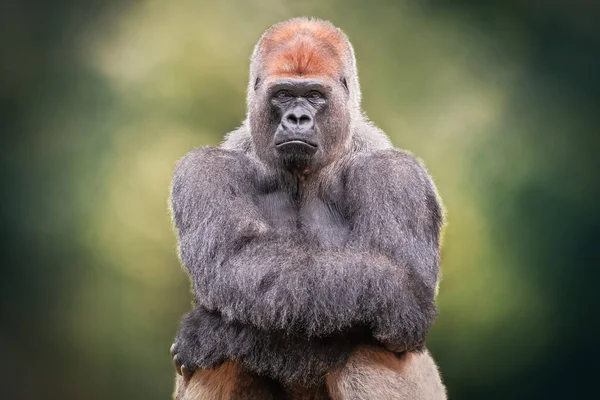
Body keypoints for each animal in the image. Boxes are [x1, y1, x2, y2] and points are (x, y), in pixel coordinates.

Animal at [168, 17, 446, 398]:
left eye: (315, 96)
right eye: (283, 94)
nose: (297, 118)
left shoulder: (397, 174)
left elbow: (402, 298)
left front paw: (211, 335)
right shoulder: (203, 169)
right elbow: (232, 257)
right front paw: (214, 334)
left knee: (368, 347)